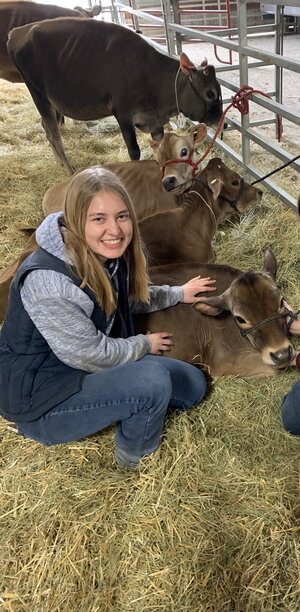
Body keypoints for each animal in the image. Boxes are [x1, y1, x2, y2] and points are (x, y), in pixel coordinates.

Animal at [7, 17, 223, 171]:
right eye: (210, 93)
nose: (224, 123)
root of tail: (18, 31)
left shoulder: (154, 120)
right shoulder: (123, 114)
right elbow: (134, 151)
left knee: (46, 128)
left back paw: (59, 163)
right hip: (38, 94)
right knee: (54, 135)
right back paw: (69, 170)